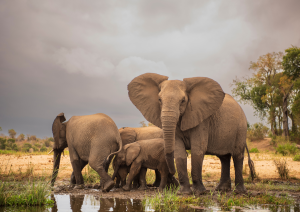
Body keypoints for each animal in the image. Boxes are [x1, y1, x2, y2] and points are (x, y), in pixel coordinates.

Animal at [127, 73, 255, 195]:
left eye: (183, 101)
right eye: (159, 100)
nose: (172, 173)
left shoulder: (202, 120)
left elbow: (198, 150)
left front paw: (199, 192)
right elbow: (179, 151)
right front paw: (183, 193)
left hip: (241, 127)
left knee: (237, 155)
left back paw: (239, 192)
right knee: (224, 157)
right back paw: (221, 190)